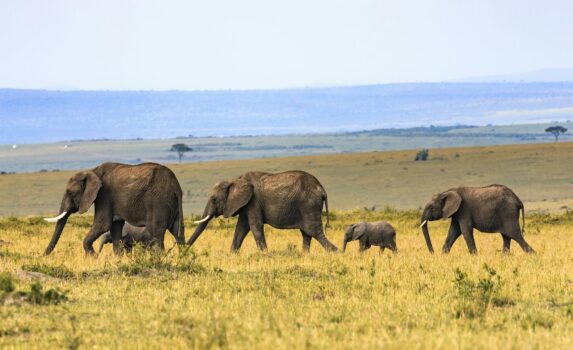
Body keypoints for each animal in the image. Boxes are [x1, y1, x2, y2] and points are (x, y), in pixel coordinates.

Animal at [43, 163, 185, 256]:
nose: (43, 256)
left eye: (70, 192)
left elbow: (103, 224)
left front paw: (93, 257)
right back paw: (183, 258)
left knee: (156, 232)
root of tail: (176, 185)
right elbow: (115, 227)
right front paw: (118, 259)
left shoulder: (104, 195)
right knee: (177, 232)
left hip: (158, 201)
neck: (93, 171)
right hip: (172, 203)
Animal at [188, 170, 338, 252]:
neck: (234, 181)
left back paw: (336, 252)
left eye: (214, 199)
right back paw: (304, 255)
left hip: (308, 205)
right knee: (307, 233)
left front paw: (265, 254)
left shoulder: (253, 201)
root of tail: (322, 189)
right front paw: (232, 254)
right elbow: (241, 229)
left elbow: (255, 227)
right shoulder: (246, 204)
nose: (184, 250)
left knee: (314, 232)